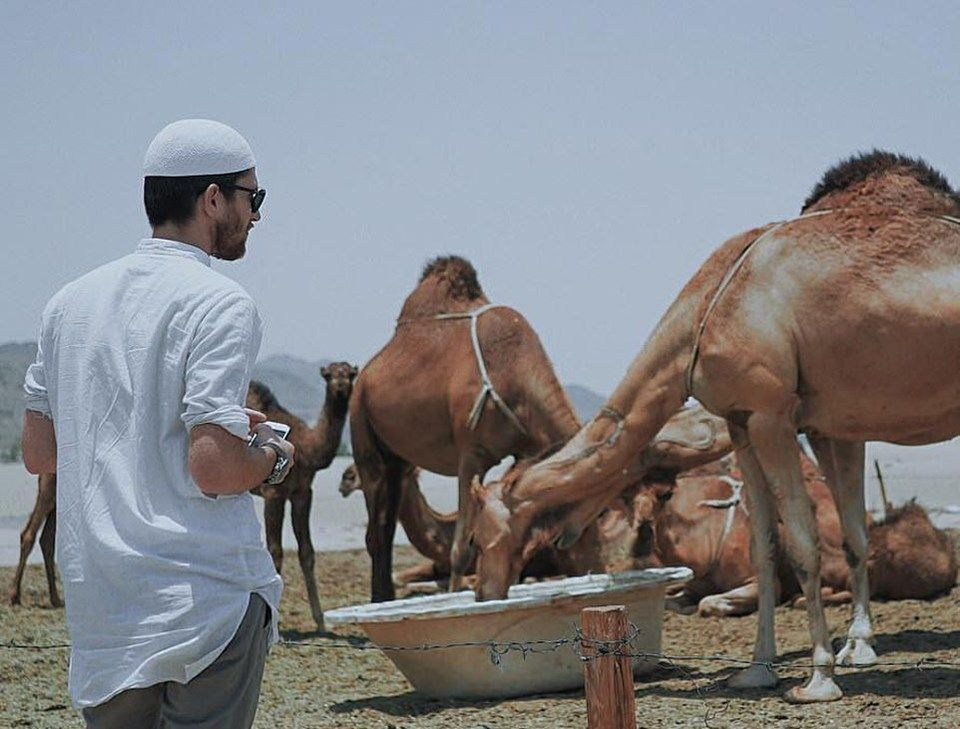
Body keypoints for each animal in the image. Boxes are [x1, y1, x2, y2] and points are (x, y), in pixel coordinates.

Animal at [244, 362, 356, 628]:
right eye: (329, 375)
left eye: (350, 374)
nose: (340, 386)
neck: (307, 448)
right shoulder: (274, 493)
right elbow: (275, 551)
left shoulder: (302, 492)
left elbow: (307, 552)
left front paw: (321, 621)